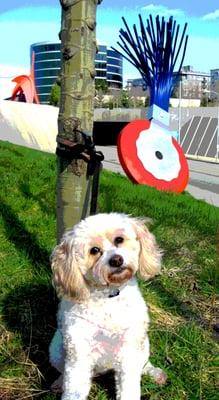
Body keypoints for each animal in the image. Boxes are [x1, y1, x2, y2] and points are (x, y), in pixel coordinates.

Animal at [49, 211, 166, 398]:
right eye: (94, 250)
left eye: (119, 239)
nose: (116, 260)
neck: (108, 297)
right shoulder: (79, 352)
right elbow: (74, 389)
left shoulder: (129, 349)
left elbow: (129, 388)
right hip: (56, 350)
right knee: (63, 372)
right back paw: (59, 382)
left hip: (143, 346)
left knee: (144, 364)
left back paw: (155, 373)